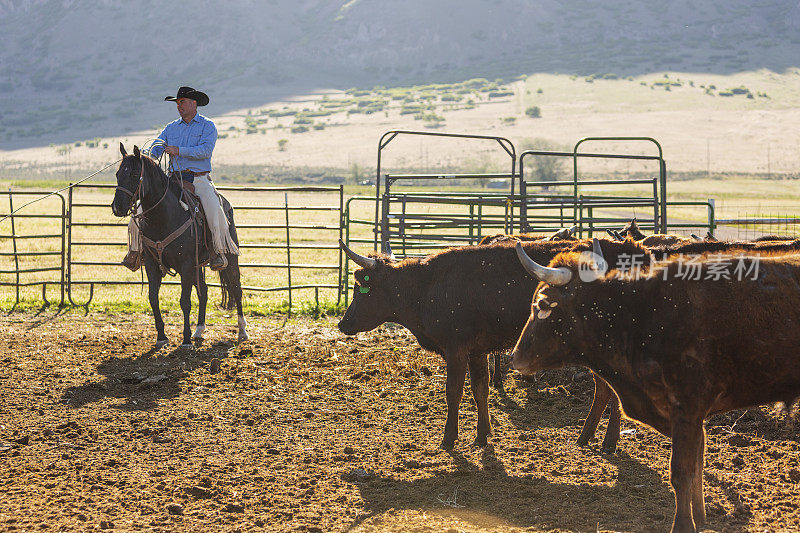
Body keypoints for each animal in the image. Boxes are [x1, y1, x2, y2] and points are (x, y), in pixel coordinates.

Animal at [512, 241, 800, 532]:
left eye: (542, 304)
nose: (515, 357)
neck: (642, 318)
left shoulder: (687, 410)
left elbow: (682, 473)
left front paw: (683, 525)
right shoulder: (693, 418)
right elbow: (697, 466)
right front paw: (700, 517)